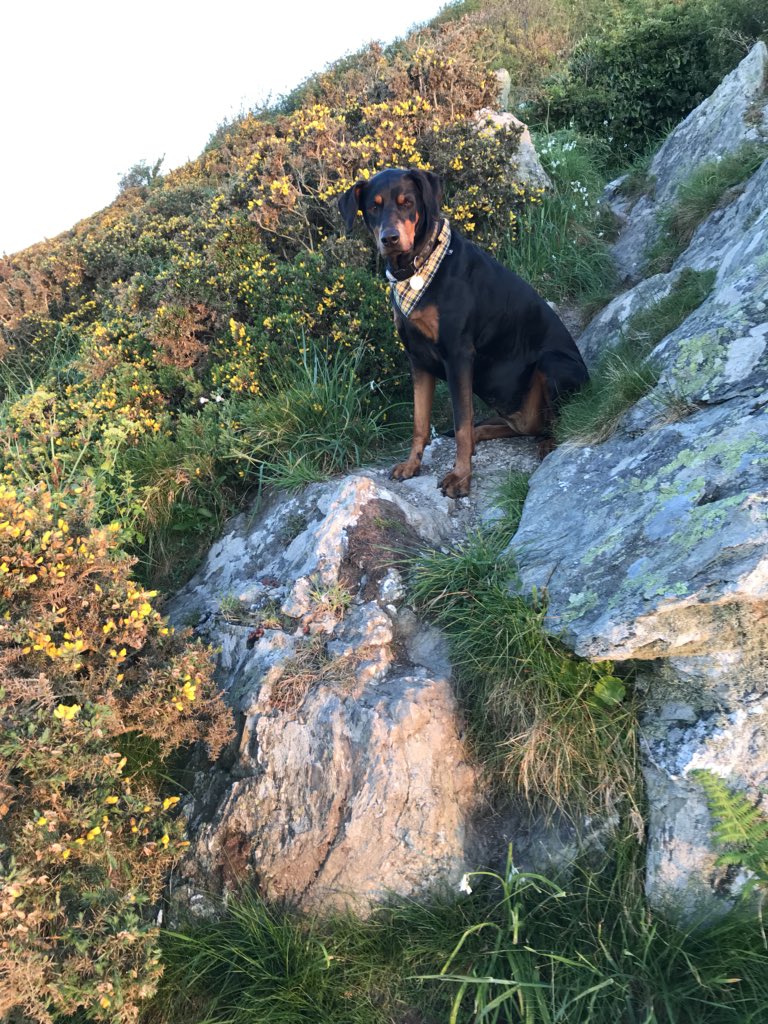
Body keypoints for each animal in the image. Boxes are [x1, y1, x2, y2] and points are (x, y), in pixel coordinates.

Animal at [337, 166, 589, 495]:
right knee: (511, 427)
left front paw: (460, 477)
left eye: (407, 202)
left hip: (554, 364)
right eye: (374, 206)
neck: (417, 268)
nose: (389, 238)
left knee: (557, 420)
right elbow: (420, 422)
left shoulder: (457, 355)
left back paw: (547, 442)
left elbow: (460, 424)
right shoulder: (417, 358)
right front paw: (411, 465)